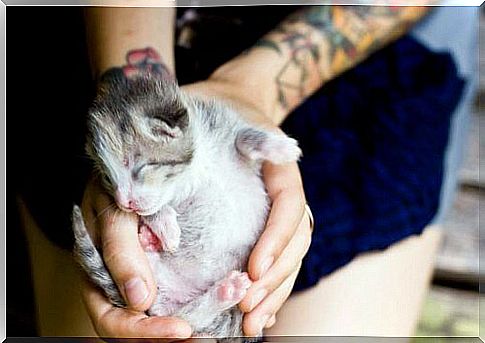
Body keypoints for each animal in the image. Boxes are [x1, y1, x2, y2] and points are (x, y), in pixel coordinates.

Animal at [72, 71, 300, 340]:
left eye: (141, 166)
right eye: (108, 178)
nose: (124, 203)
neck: (192, 172)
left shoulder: (224, 126)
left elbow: (243, 137)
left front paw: (281, 147)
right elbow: (152, 210)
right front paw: (165, 225)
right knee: (182, 317)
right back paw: (221, 289)